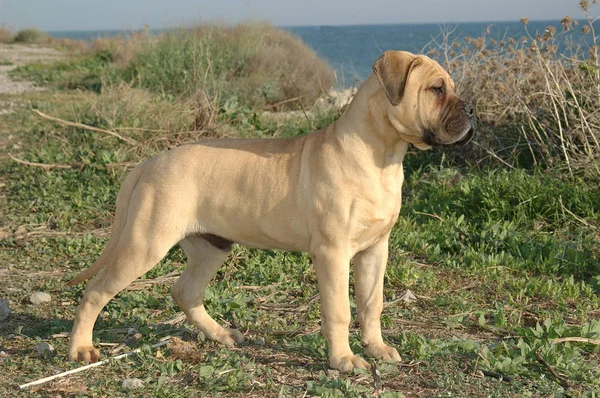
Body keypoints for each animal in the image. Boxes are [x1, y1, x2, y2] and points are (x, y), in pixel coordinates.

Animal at [68, 50, 474, 374]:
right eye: (436, 89)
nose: (471, 108)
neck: (382, 156)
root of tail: (149, 163)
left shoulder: (375, 249)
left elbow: (372, 303)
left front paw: (376, 348)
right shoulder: (333, 253)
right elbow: (339, 309)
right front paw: (343, 360)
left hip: (210, 247)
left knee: (185, 291)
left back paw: (221, 334)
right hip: (145, 244)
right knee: (96, 290)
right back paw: (81, 348)